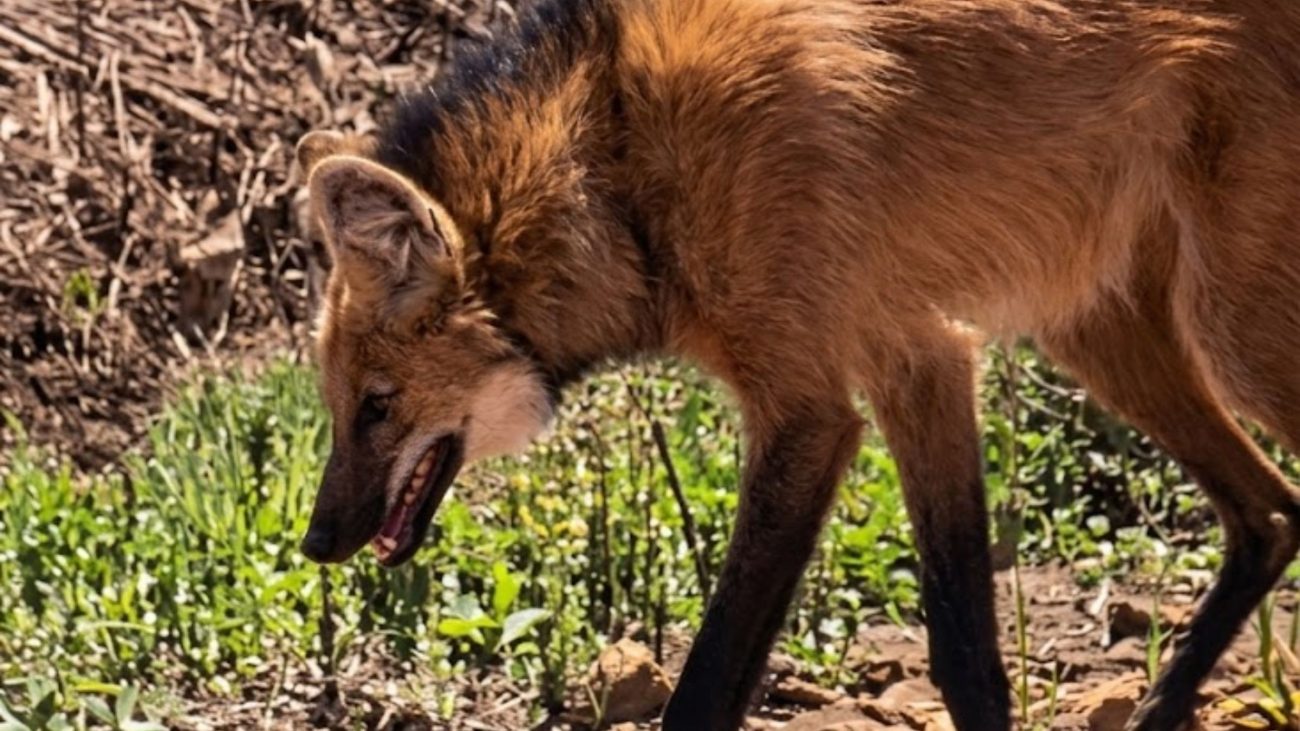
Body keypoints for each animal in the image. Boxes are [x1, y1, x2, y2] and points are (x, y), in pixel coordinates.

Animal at [295, 0, 1300, 728]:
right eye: (340, 406)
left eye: (377, 405)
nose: (316, 543)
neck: (620, 165)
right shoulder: (914, 361)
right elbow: (965, 655)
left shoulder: (819, 406)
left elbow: (711, 683)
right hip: (1101, 332)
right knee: (1271, 513)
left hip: (1237, 335)